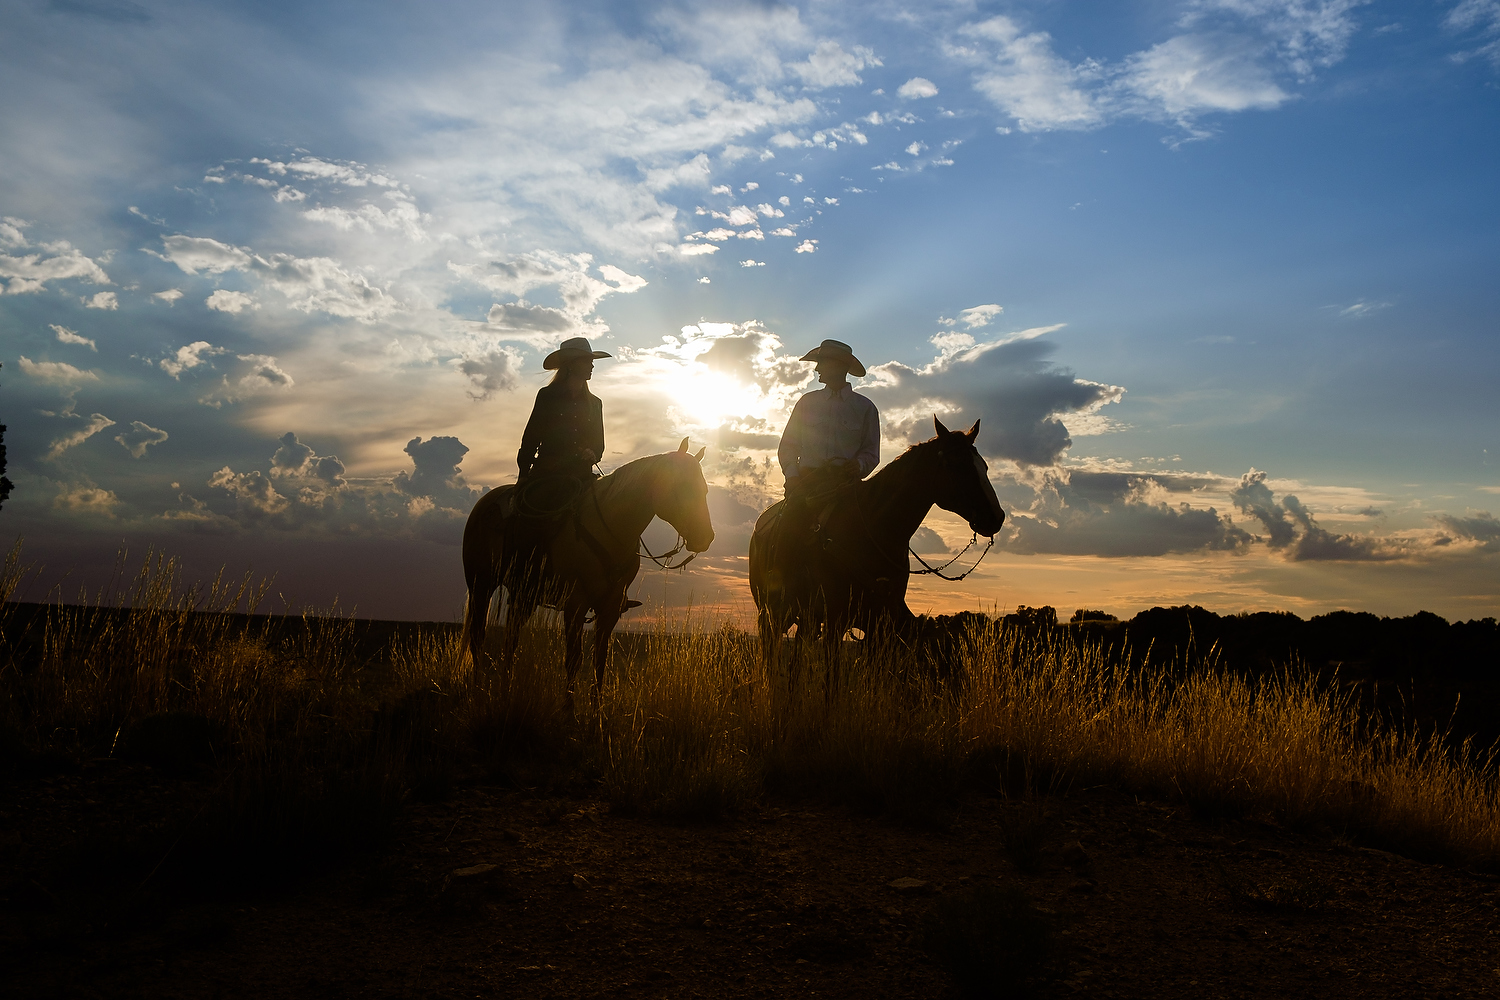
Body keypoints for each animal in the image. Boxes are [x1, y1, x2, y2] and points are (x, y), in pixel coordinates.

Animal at [459, 437, 711, 704]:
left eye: (705, 489)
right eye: (681, 486)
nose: (705, 537)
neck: (610, 526)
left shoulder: (610, 607)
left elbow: (599, 661)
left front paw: (596, 710)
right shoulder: (575, 604)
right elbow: (573, 659)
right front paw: (568, 709)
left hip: (523, 595)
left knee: (511, 638)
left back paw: (506, 689)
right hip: (481, 586)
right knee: (478, 637)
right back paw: (477, 689)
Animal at [750, 419, 1008, 701]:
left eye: (984, 466)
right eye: (956, 463)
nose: (996, 517)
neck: (872, 531)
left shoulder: (880, 624)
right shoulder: (834, 620)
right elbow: (832, 683)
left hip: (808, 620)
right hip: (774, 614)